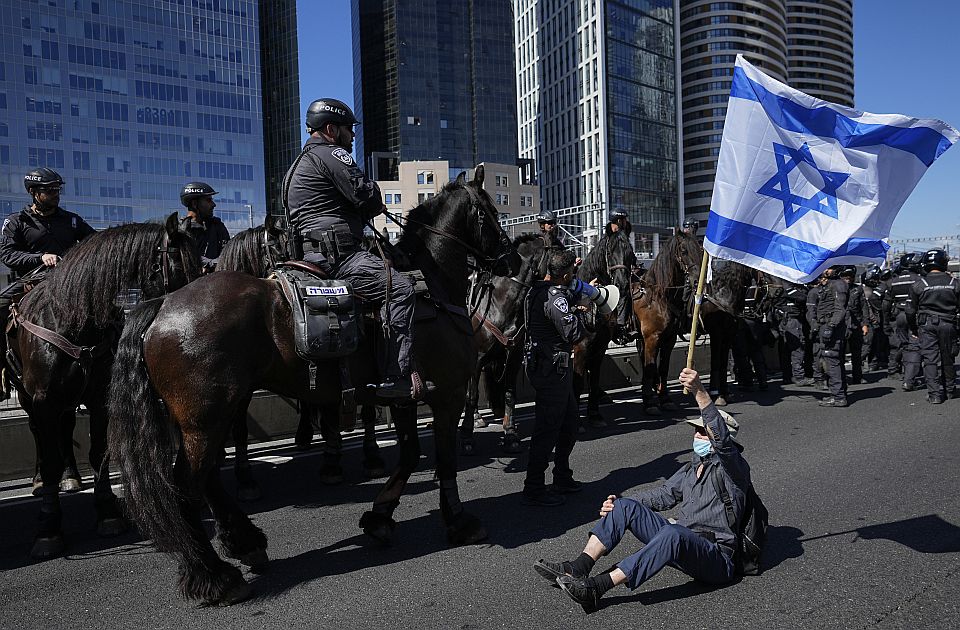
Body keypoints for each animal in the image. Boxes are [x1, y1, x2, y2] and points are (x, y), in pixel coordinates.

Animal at [6, 216, 199, 556]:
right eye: (180, 268)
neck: (72, 322)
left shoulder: (98, 399)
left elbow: (99, 454)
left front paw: (108, 512)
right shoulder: (44, 401)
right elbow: (51, 458)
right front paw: (48, 528)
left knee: (65, 429)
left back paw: (71, 476)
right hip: (31, 398)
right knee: (40, 437)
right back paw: (41, 480)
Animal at [109, 168, 520, 608]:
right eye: (490, 211)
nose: (511, 260)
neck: (433, 287)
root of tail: (163, 305)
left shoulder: (406, 397)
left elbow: (410, 456)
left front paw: (379, 517)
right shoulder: (446, 394)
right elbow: (444, 460)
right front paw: (459, 521)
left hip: (207, 417)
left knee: (206, 479)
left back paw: (245, 543)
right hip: (206, 417)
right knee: (187, 485)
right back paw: (214, 575)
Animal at [460, 232, 548, 454]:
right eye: (559, 249)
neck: (498, 304)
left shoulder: (513, 358)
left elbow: (509, 394)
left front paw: (510, 434)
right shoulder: (476, 360)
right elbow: (472, 396)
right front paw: (466, 437)